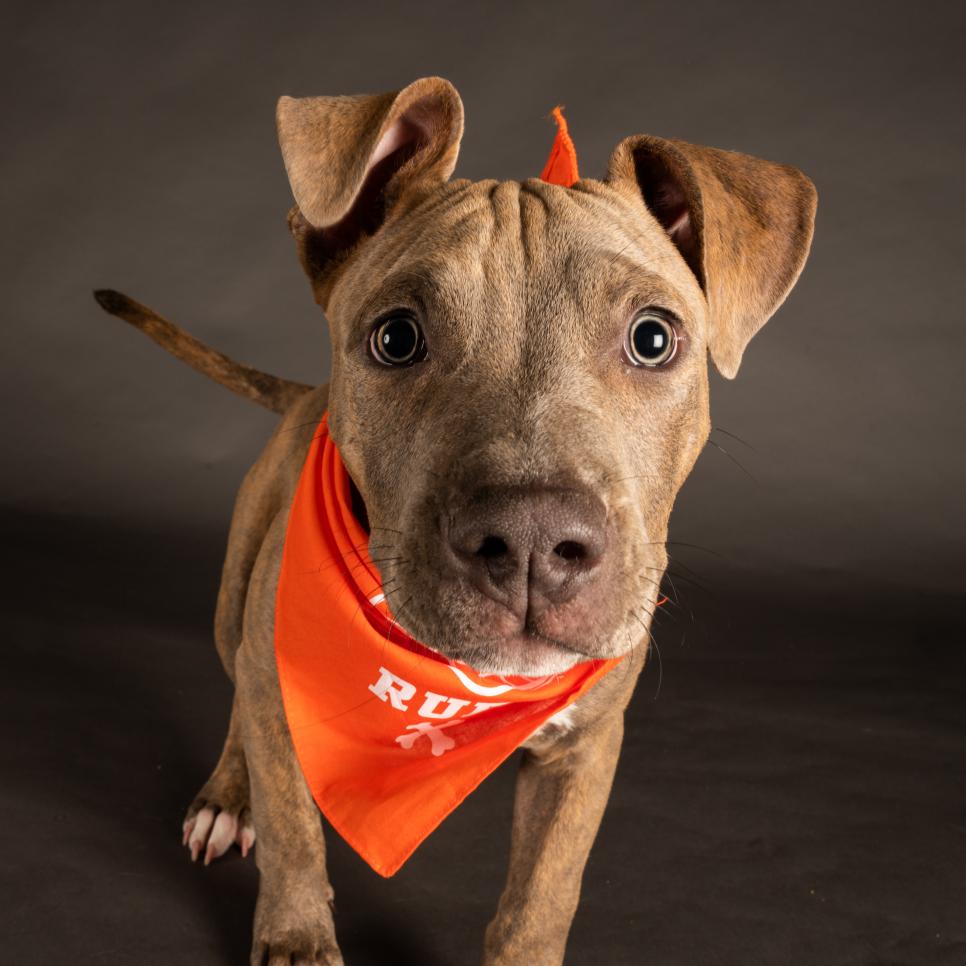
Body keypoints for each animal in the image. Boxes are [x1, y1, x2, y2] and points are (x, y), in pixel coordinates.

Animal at [96, 77, 816, 966]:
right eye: (397, 337)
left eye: (653, 338)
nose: (534, 540)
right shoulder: (278, 672)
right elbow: (295, 826)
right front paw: (297, 935)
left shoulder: (586, 747)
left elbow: (542, 893)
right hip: (240, 605)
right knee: (245, 704)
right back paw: (230, 794)